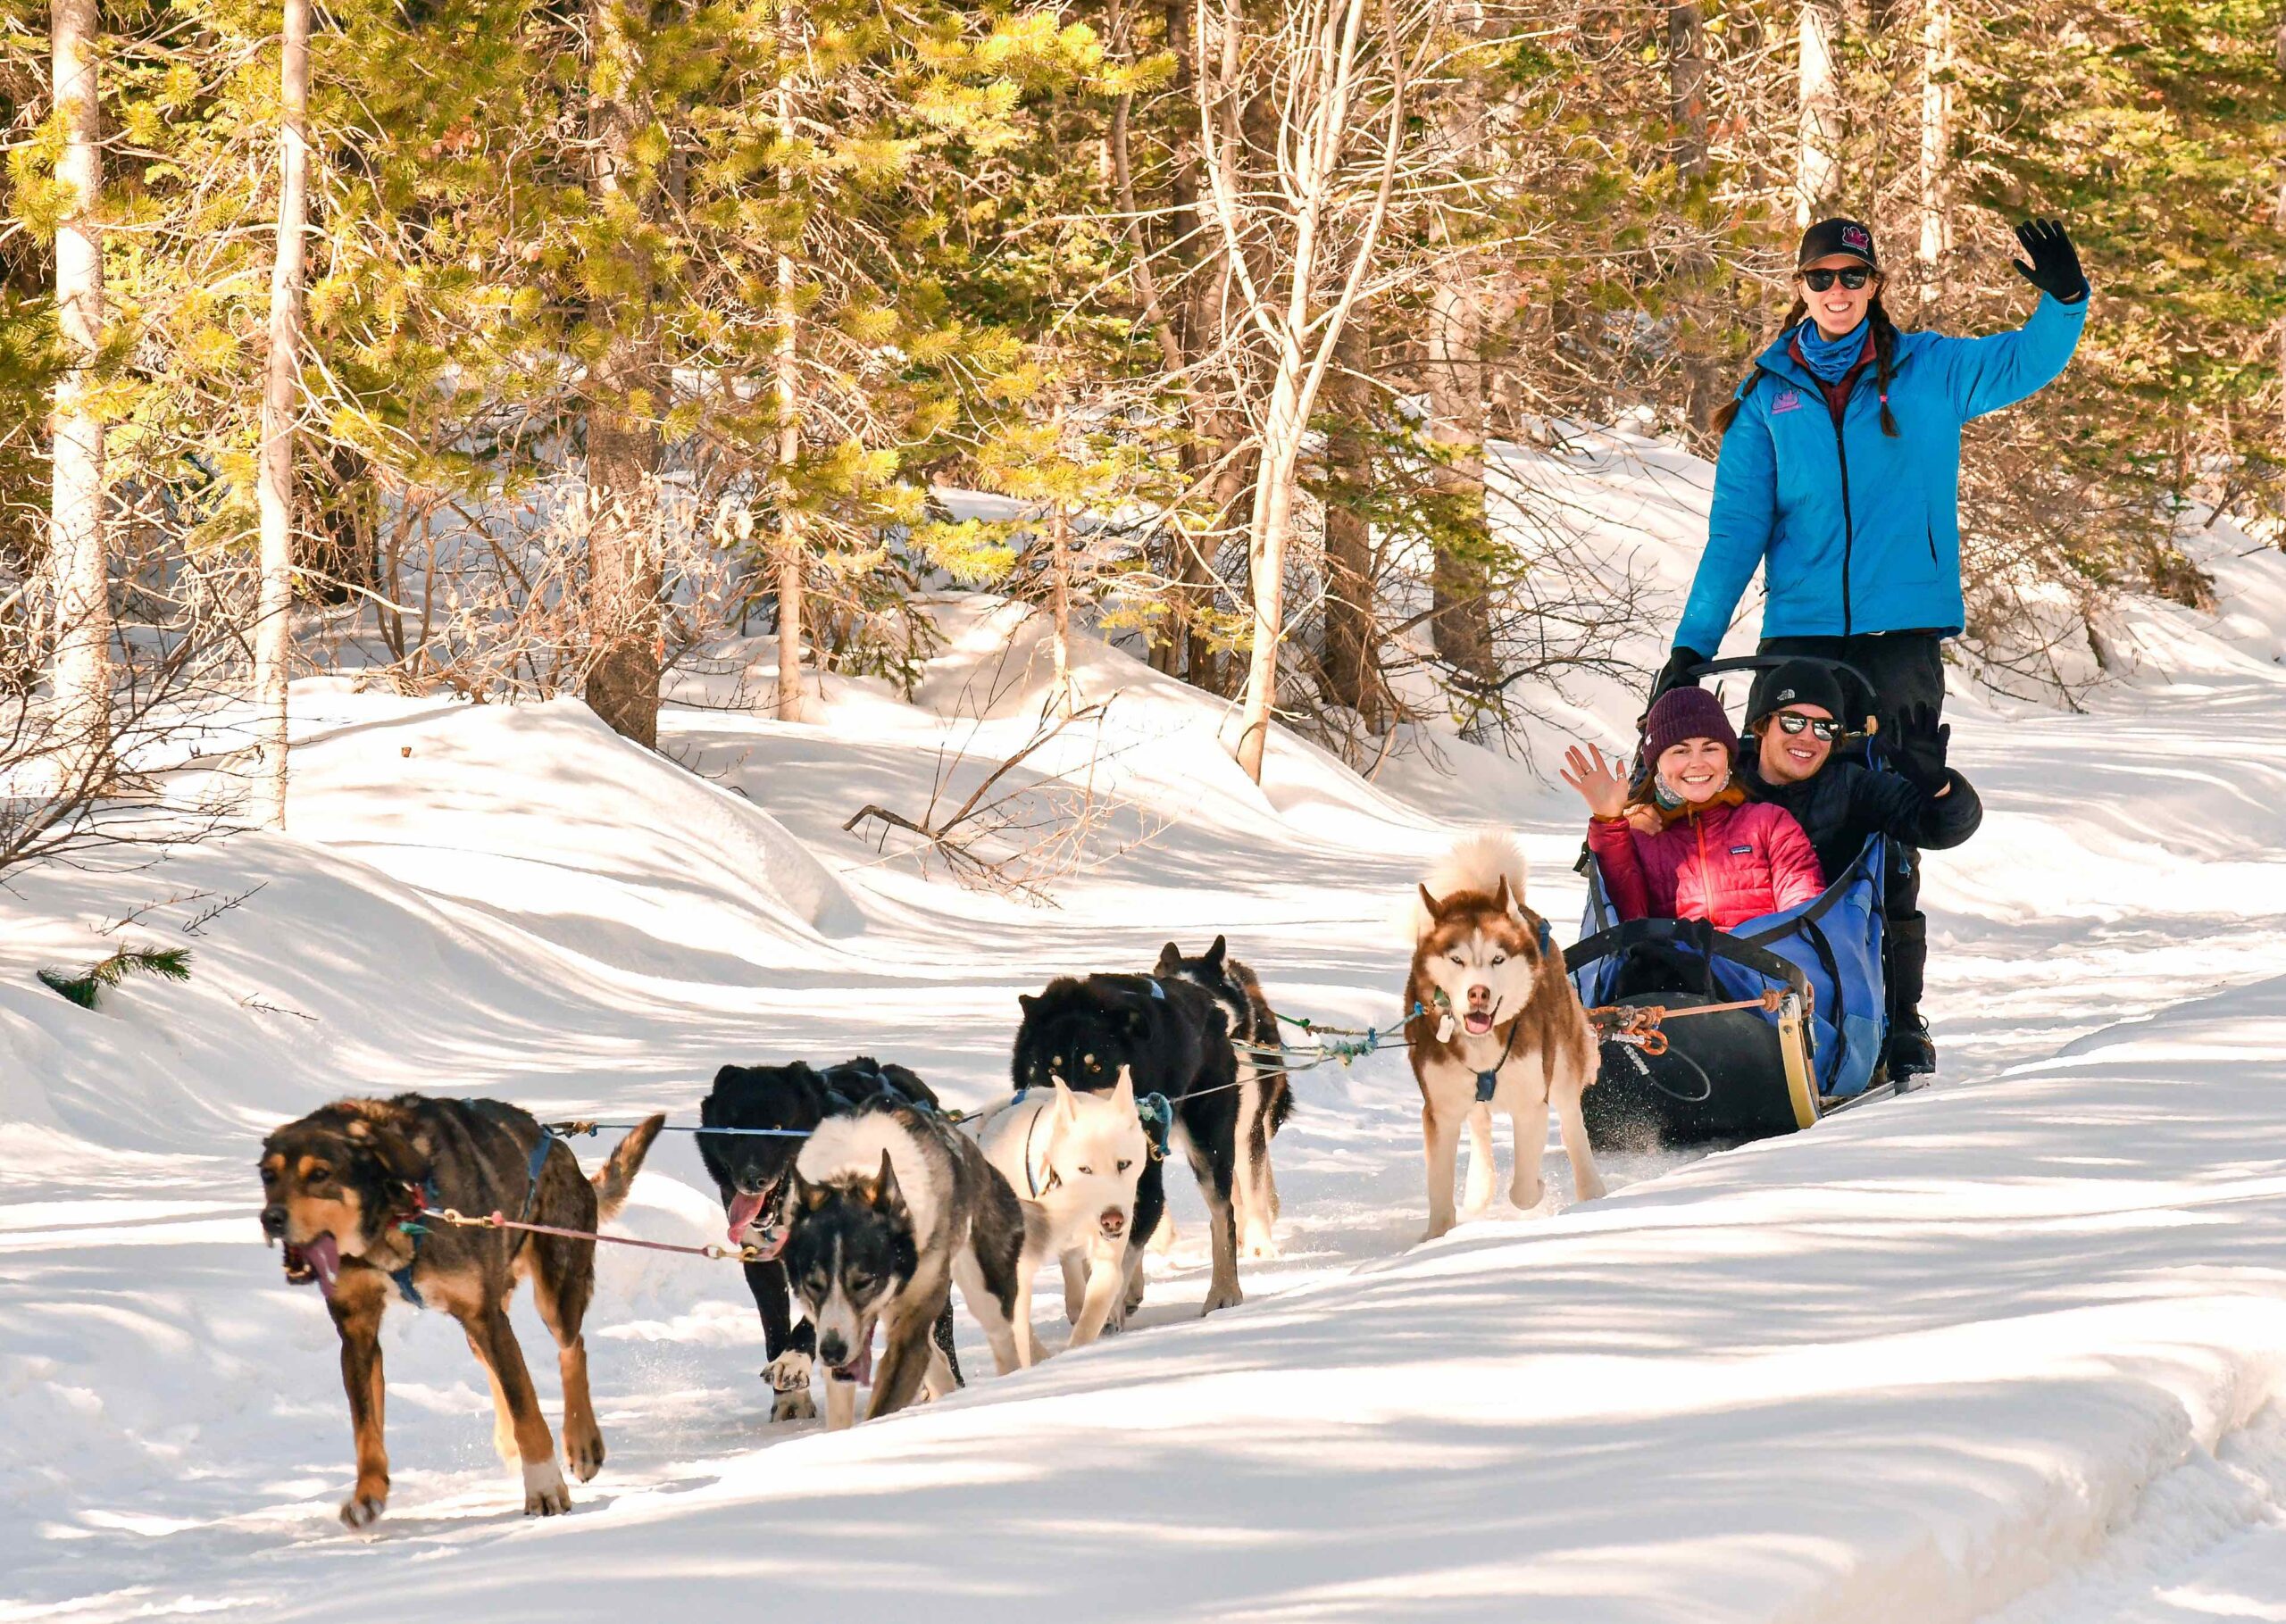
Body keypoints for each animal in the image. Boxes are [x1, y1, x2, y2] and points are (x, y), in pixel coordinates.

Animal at [263, 1101, 667, 1535]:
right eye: (267, 1175)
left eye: (320, 1174)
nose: (270, 1218)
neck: (397, 1215)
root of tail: (560, 1148)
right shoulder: (358, 1334)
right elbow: (366, 1427)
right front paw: (368, 1495)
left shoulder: (484, 1315)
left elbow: (527, 1407)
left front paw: (544, 1488)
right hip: (481, 1323)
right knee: (500, 1368)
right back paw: (510, 1439)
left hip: (553, 1295)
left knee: (571, 1348)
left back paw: (581, 1441)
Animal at [1398, 831, 1600, 1242]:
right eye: (1457, 960)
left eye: (1497, 959)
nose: (1479, 993)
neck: (1481, 1045)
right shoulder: (1440, 1110)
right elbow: (1438, 1186)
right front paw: (1437, 1237)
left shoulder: (1532, 1102)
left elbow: (1522, 1190)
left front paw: (1536, 1186)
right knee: (1480, 1122)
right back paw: (1479, 1188)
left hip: (1563, 1065)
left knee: (1572, 1123)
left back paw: (1591, 1191)